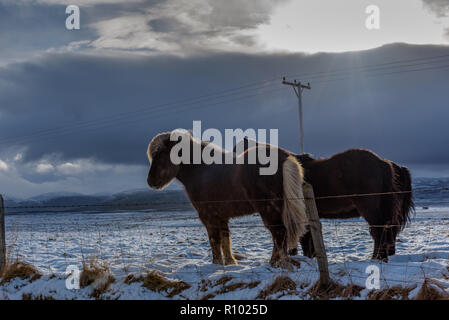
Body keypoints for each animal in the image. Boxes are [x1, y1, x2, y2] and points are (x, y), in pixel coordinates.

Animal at [234, 139, 412, 262]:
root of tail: (382, 163)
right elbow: (307, 241)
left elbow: (301, 240)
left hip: (370, 210)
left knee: (378, 231)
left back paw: (377, 258)